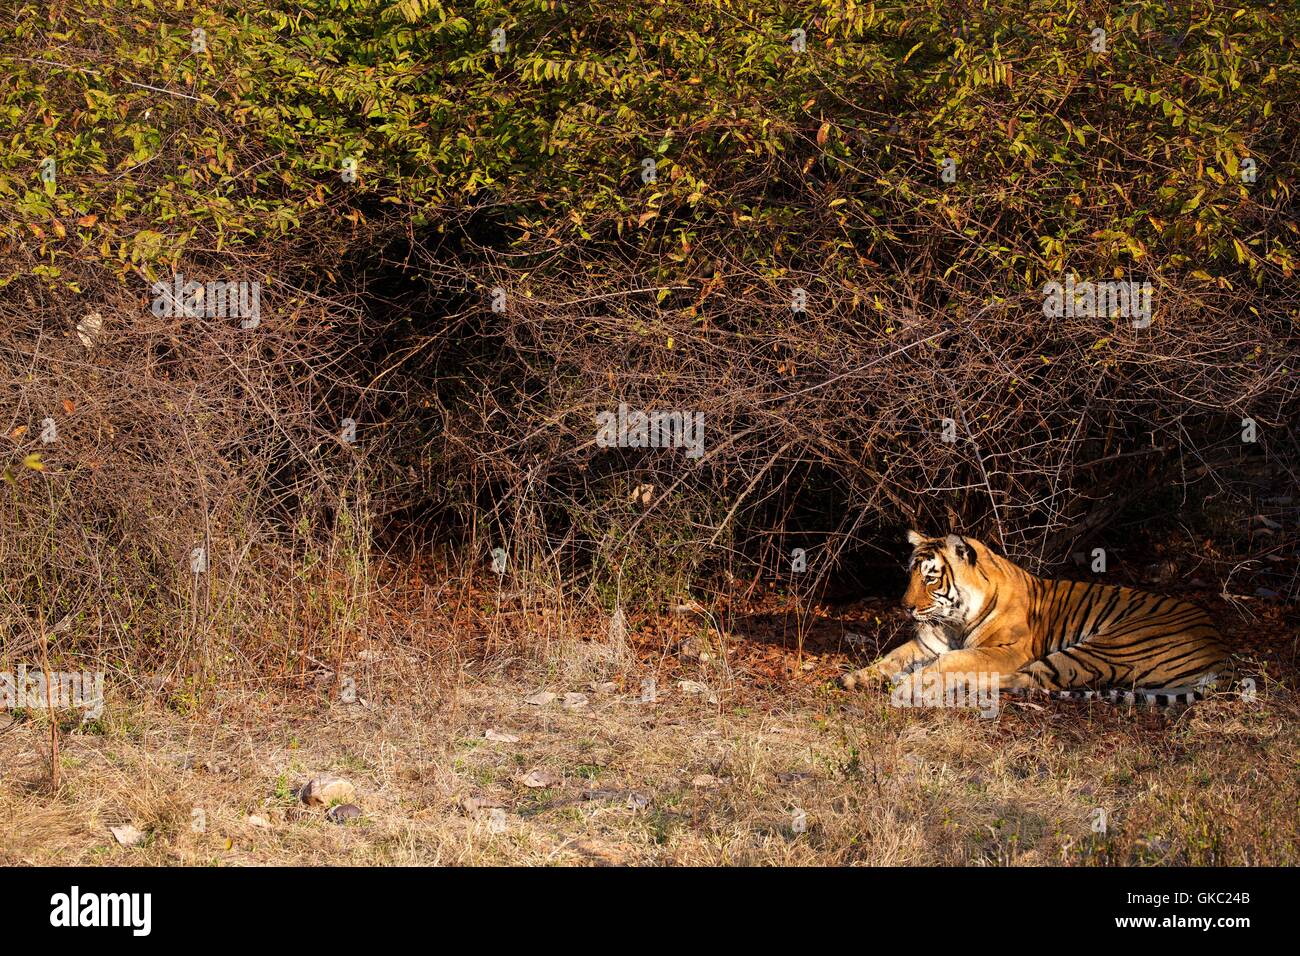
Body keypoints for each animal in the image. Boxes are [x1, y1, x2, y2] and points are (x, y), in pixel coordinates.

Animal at [842, 535, 1227, 707]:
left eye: (931, 578)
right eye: (911, 575)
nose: (905, 607)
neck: (953, 620)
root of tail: (1217, 642)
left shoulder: (1007, 650)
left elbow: (956, 660)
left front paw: (909, 684)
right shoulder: (925, 644)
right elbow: (891, 658)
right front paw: (856, 678)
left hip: (1103, 648)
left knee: (1020, 679)